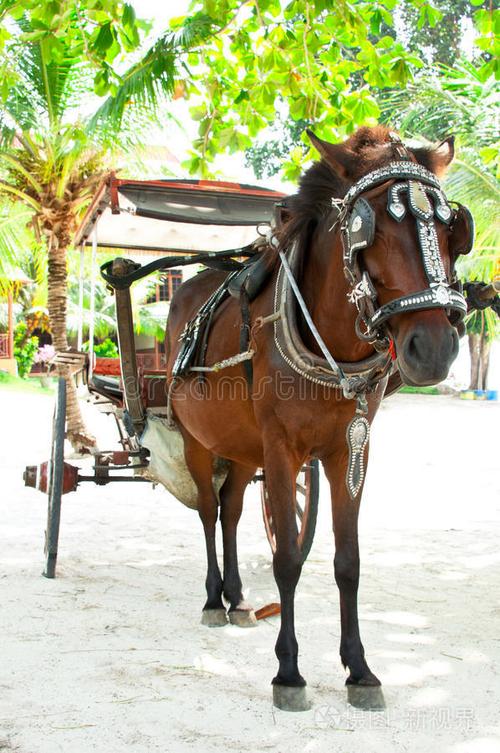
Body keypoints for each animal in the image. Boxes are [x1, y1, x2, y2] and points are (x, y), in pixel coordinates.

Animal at [165, 126, 473, 711]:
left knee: (232, 509)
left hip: (244, 448)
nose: (434, 348)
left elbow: (347, 561)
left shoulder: (350, 449)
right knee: (209, 513)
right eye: (368, 231)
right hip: (197, 438)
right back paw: (214, 598)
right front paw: (289, 671)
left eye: (454, 230)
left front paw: (361, 670)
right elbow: (287, 556)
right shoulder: (283, 450)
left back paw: (237, 597)